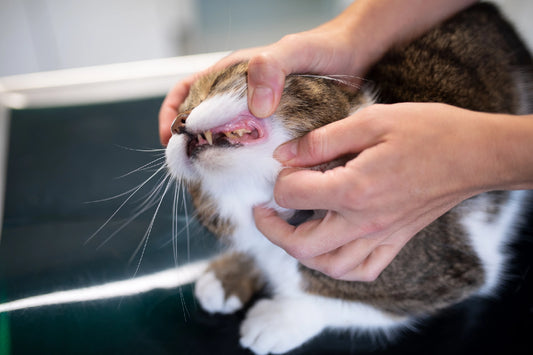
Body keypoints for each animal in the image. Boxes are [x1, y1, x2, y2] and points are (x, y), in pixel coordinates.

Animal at [164, 3, 528, 355]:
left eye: (212, 87)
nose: (177, 122)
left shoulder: (452, 273)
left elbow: (346, 299)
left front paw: (280, 317)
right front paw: (230, 272)